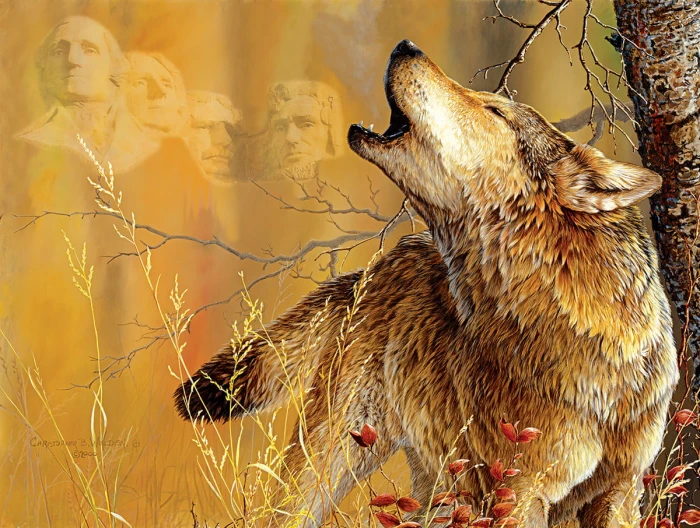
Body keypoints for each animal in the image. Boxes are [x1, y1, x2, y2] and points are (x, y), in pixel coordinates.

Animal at [174, 40, 678, 527]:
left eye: (495, 111)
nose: (404, 46)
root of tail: (382, 262)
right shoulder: (515, 491)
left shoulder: (620, 490)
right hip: (334, 459)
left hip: (438, 486)